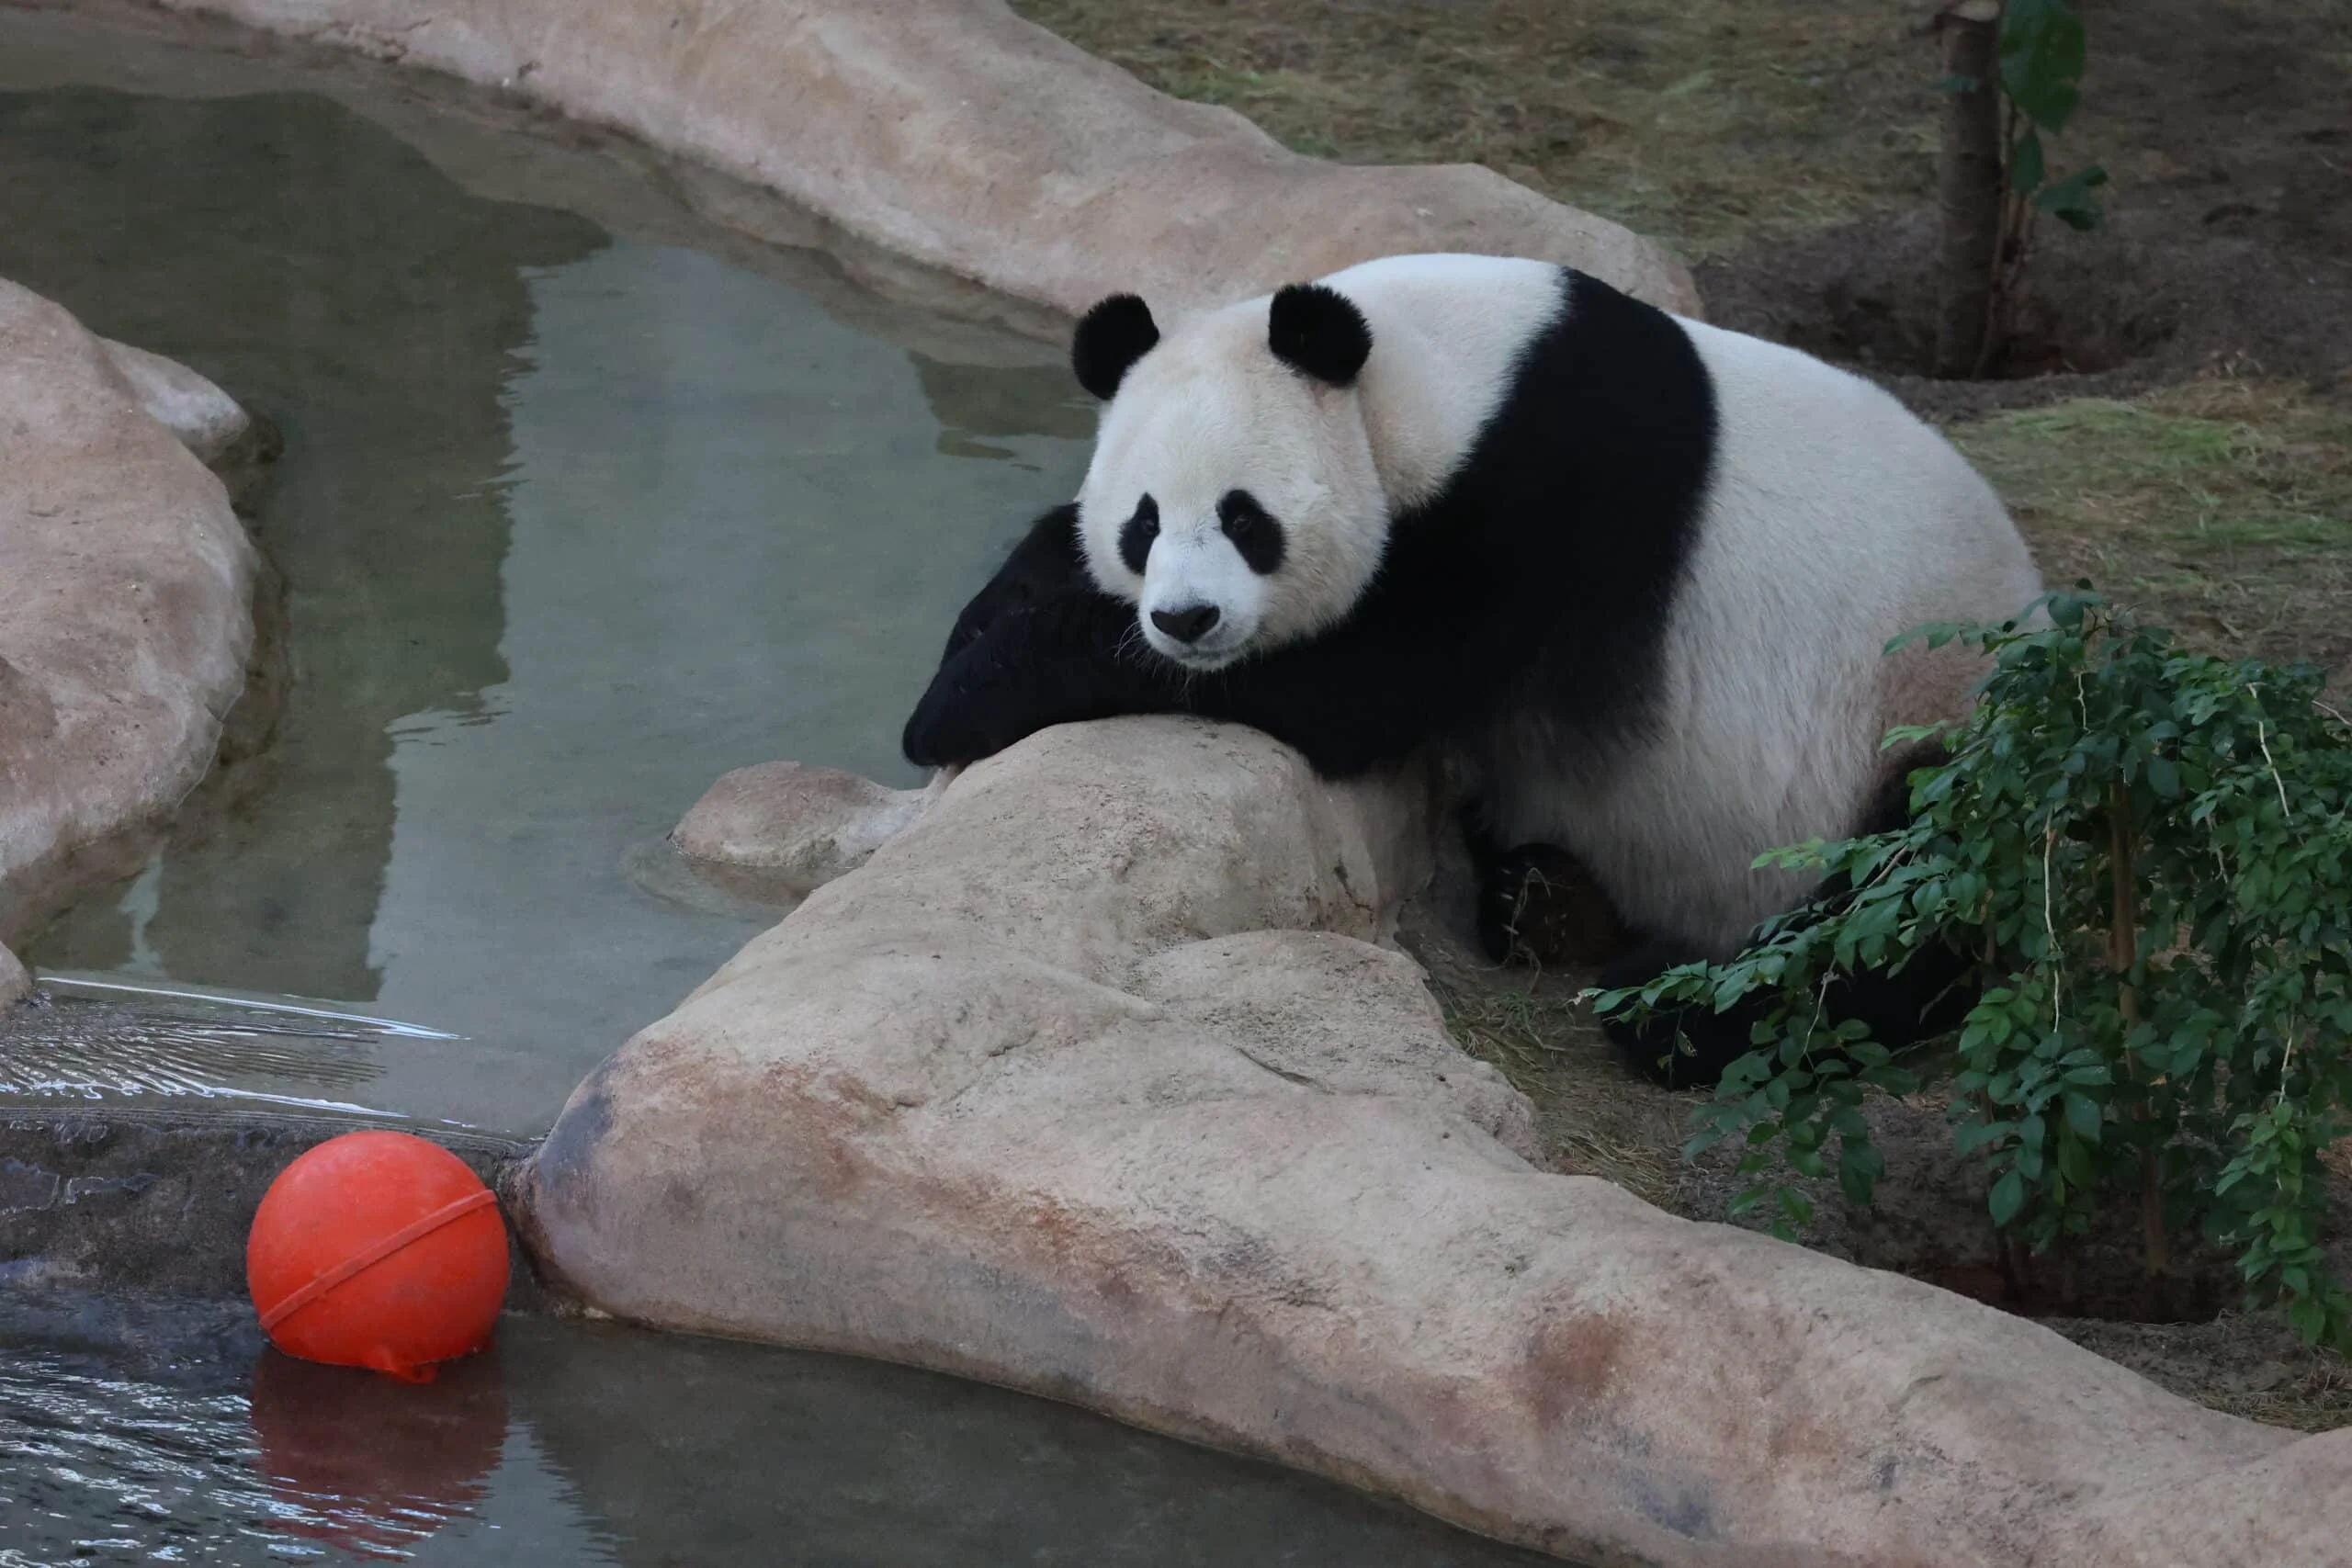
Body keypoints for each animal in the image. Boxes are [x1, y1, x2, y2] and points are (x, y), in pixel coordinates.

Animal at [902, 253, 2043, 1087]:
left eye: (1244, 518)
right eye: (1140, 525)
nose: (1186, 619)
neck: (1423, 382)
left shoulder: (1546, 499)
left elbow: (1360, 685)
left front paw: (967, 698)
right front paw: (983, 625)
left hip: (1930, 706)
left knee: (1903, 904)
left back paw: (1679, 1009)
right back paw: (1541, 901)